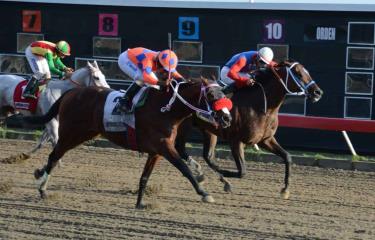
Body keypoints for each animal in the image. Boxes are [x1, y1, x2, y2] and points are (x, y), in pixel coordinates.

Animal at [20, 78, 234, 208]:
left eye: (223, 95)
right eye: (211, 96)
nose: (227, 118)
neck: (166, 110)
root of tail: (71, 92)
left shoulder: (156, 152)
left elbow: (144, 177)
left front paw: (139, 203)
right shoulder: (165, 147)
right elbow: (185, 169)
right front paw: (204, 192)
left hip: (83, 134)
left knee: (55, 155)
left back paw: (40, 177)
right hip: (71, 134)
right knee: (54, 155)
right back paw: (42, 188)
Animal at [176, 60, 324, 199]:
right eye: (298, 73)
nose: (318, 92)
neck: (262, 107)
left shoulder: (266, 139)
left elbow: (287, 157)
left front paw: (285, 189)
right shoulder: (236, 141)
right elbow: (242, 171)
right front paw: (224, 174)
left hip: (208, 130)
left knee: (207, 156)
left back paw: (214, 177)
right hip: (183, 126)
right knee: (181, 149)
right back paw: (206, 174)